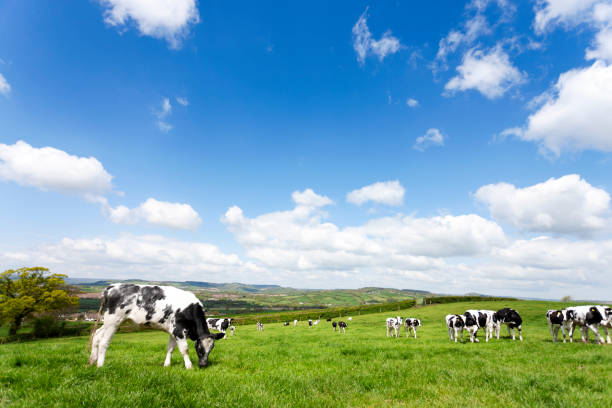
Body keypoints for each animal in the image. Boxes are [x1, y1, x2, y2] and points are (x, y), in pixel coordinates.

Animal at [87, 284, 224, 370]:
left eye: (211, 348)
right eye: (199, 348)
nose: (203, 365)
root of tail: (111, 287)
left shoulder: (173, 331)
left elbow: (170, 349)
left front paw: (167, 365)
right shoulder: (179, 330)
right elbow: (184, 349)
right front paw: (189, 366)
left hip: (107, 322)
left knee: (97, 335)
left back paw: (91, 361)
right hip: (113, 321)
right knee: (104, 341)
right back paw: (100, 365)